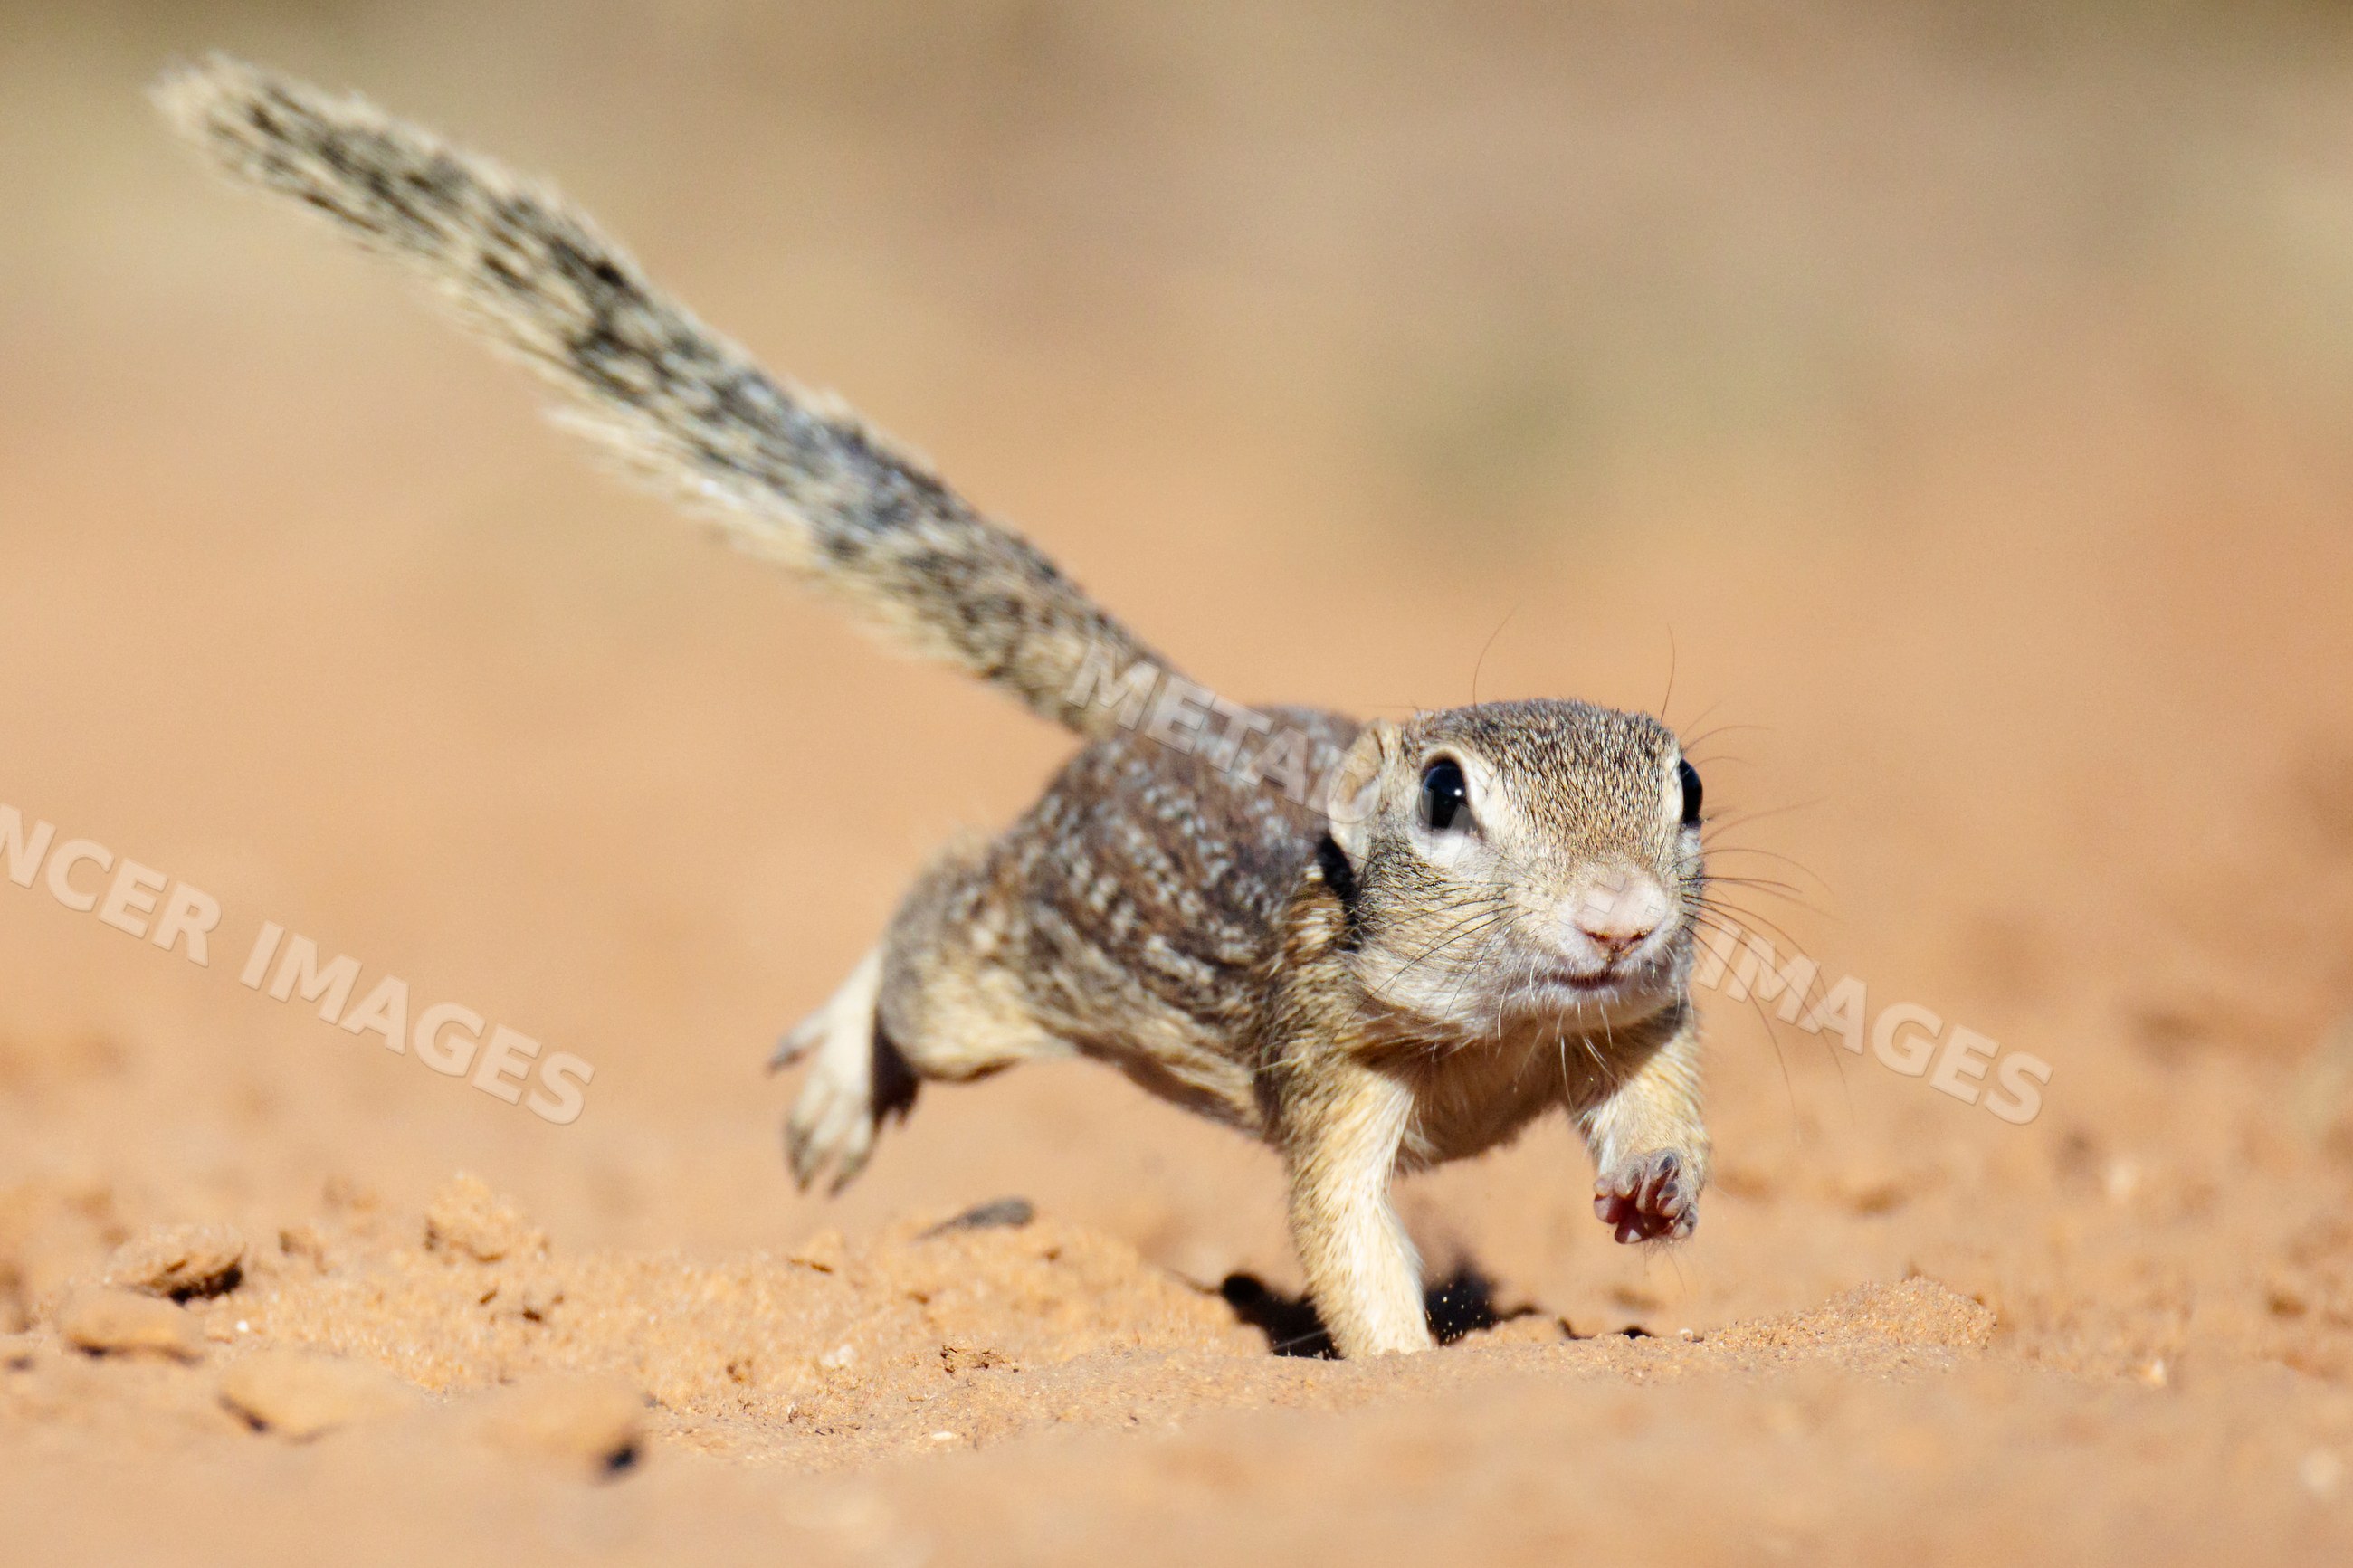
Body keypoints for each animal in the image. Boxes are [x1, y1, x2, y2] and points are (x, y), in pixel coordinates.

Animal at [157, 56, 1712, 1359]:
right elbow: (1346, 1240)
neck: (1499, 1034)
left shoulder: (1639, 1016)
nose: (1621, 915)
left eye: (1686, 789)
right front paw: (1407, 1377)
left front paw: (1655, 1189)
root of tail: (1171, 706)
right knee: (936, 913)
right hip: (1004, 971)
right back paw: (845, 1074)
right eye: (1446, 798)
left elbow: (1661, 1097)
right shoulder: (1326, 1060)